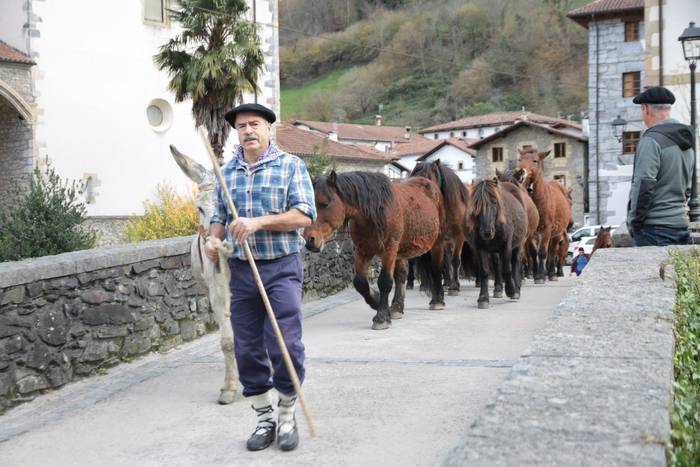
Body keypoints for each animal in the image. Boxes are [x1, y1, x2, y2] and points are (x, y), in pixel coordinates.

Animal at [304, 171, 446, 330]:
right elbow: (360, 282)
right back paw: (396, 308)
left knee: (436, 269)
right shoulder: (363, 250)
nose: (310, 240)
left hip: (436, 244)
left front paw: (381, 317)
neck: (374, 213)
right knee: (401, 276)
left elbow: (384, 281)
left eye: (324, 204)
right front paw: (377, 301)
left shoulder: (389, 249)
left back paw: (437, 301)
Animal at [410, 159, 470, 294]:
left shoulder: (459, 237)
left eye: (426, 181)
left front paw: (455, 286)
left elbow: (455, 260)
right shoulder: (442, 239)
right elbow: (443, 262)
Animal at [468, 179, 528, 310]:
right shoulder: (480, 248)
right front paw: (483, 298)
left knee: (515, 263)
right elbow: (484, 271)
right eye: (476, 204)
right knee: (497, 264)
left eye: (494, 202)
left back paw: (517, 290)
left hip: (518, 245)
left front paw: (511, 291)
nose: (487, 232)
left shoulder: (507, 246)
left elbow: (507, 269)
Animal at [516, 148, 572, 284]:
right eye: (520, 159)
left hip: (557, 233)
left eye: (535, 160)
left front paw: (541, 276)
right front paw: (536, 274)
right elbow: (533, 253)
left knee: (552, 251)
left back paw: (552, 273)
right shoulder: (531, 232)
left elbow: (542, 252)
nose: (520, 173)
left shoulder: (547, 228)